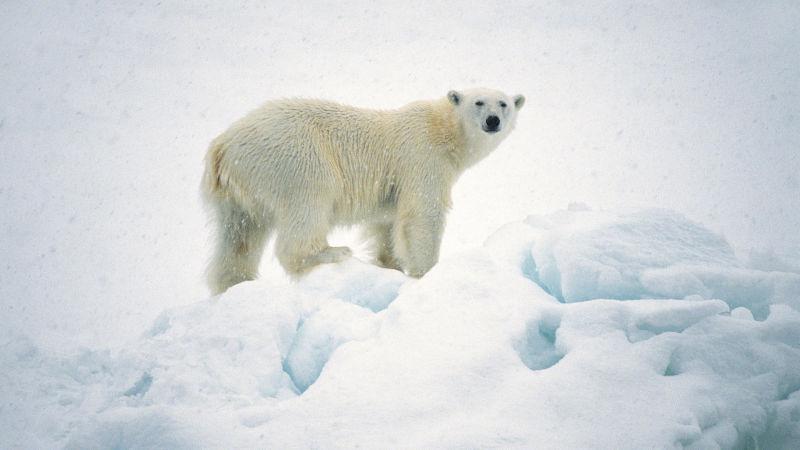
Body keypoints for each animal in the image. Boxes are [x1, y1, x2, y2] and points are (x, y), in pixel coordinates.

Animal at [203, 88, 520, 294]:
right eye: (479, 102)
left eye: (504, 104)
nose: (493, 120)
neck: (443, 130)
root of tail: (223, 144)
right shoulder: (424, 158)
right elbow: (423, 215)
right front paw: (426, 272)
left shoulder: (391, 191)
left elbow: (387, 225)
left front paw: (390, 265)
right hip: (293, 157)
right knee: (310, 200)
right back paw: (331, 251)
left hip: (237, 190)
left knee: (239, 235)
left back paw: (234, 283)